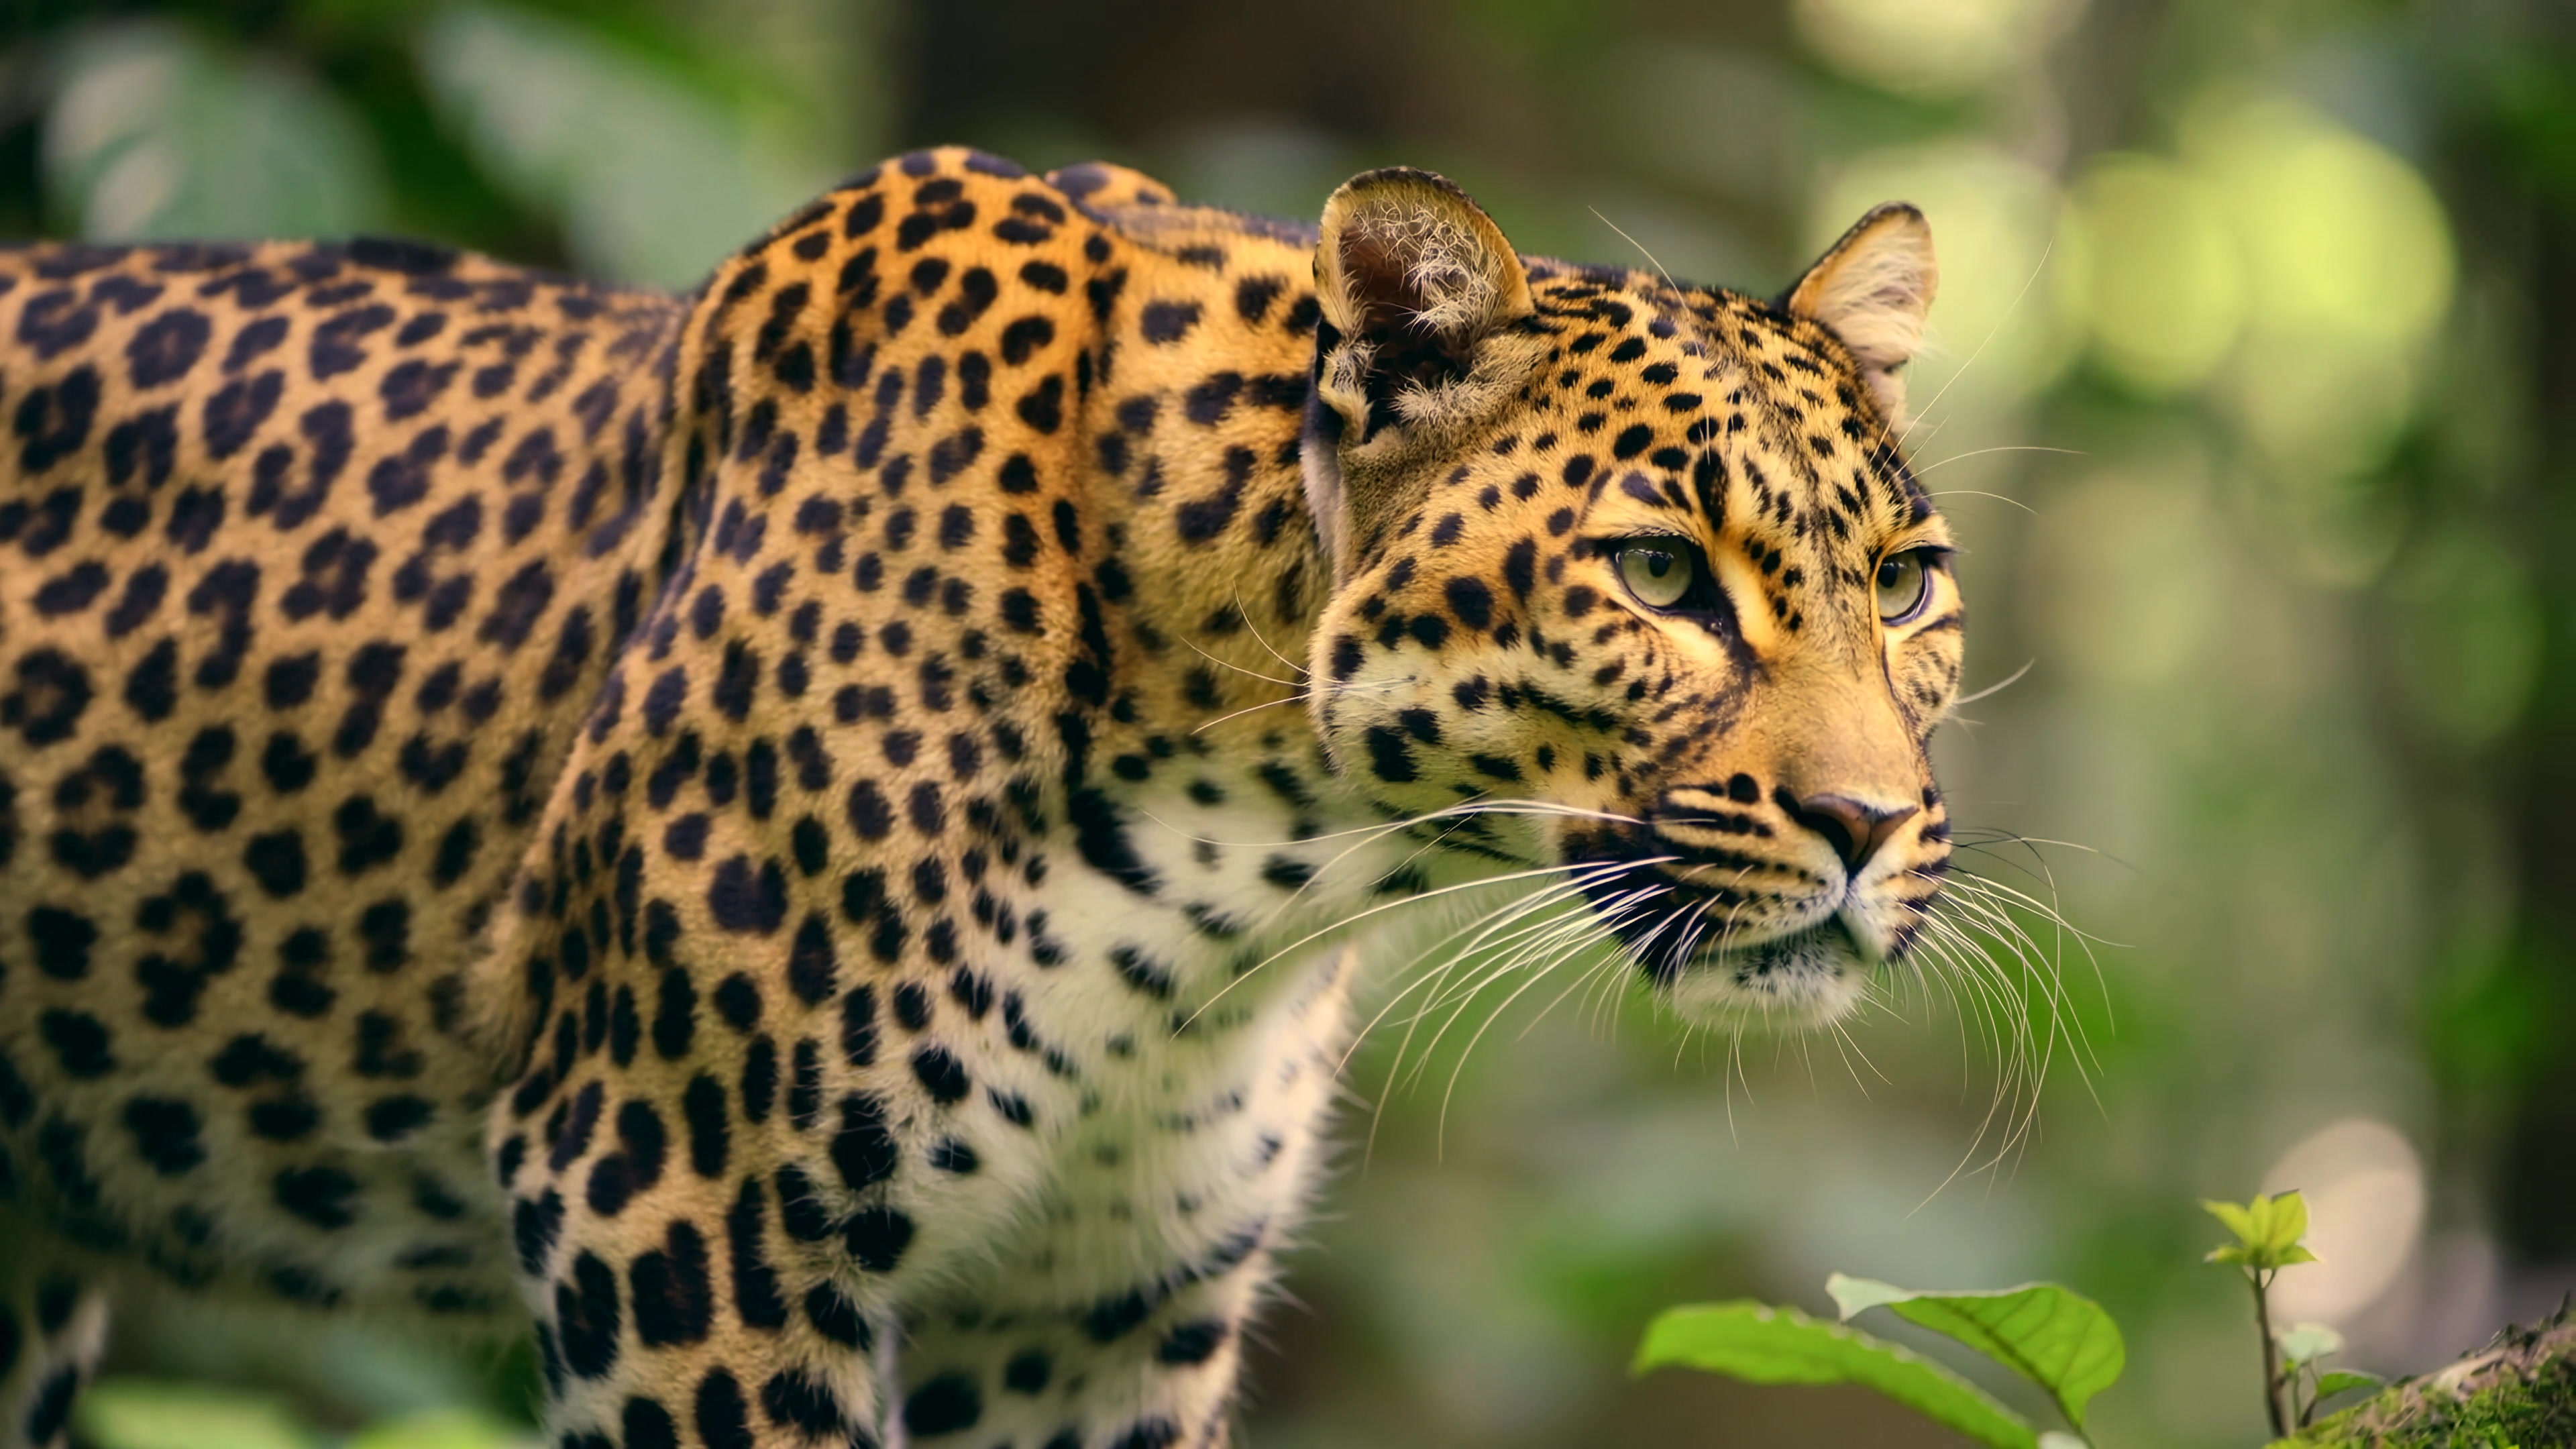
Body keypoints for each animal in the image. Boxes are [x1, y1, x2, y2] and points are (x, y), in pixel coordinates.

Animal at [0, 146, 1963, 1449]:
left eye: (1906, 586)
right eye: (1658, 573)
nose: (1868, 828)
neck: (1247, 873)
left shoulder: (1095, 1305)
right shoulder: (673, 1202)